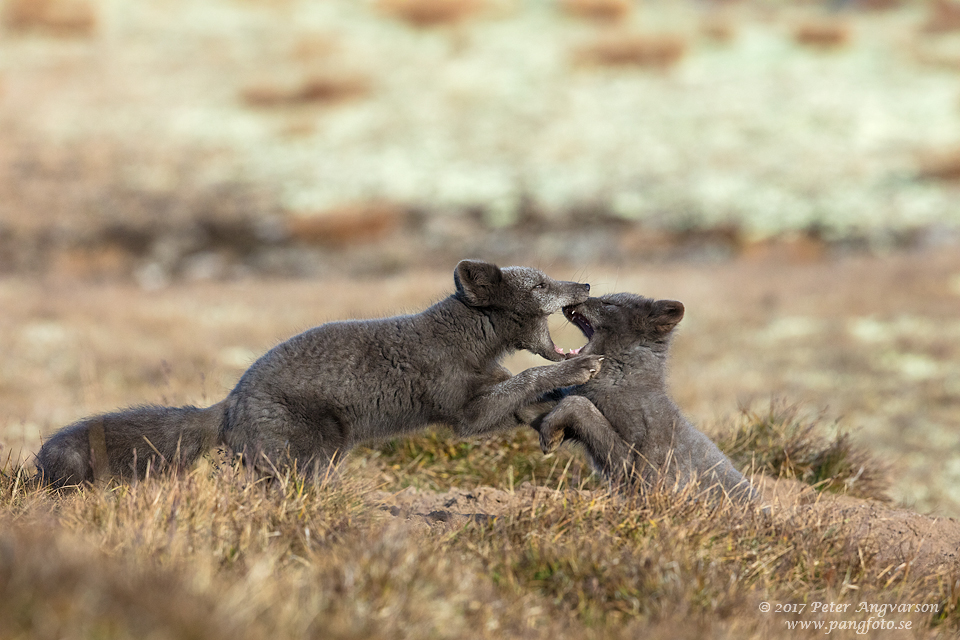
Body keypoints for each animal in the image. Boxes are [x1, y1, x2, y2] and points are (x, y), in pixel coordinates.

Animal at [39, 260, 608, 484]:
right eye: (540, 284)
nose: (584, 284)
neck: (464, 341)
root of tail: (228, 403)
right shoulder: (460, 406)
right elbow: (521, 382)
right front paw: (582, 365)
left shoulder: (483, 387)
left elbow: (524, 400)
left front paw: (560, 417)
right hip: (309, 451)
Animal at [524, 292, 756, 508]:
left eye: (609, 303)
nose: (570, 301)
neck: (620, 381)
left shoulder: (634, 463)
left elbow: (577, 405)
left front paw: (549, 436)